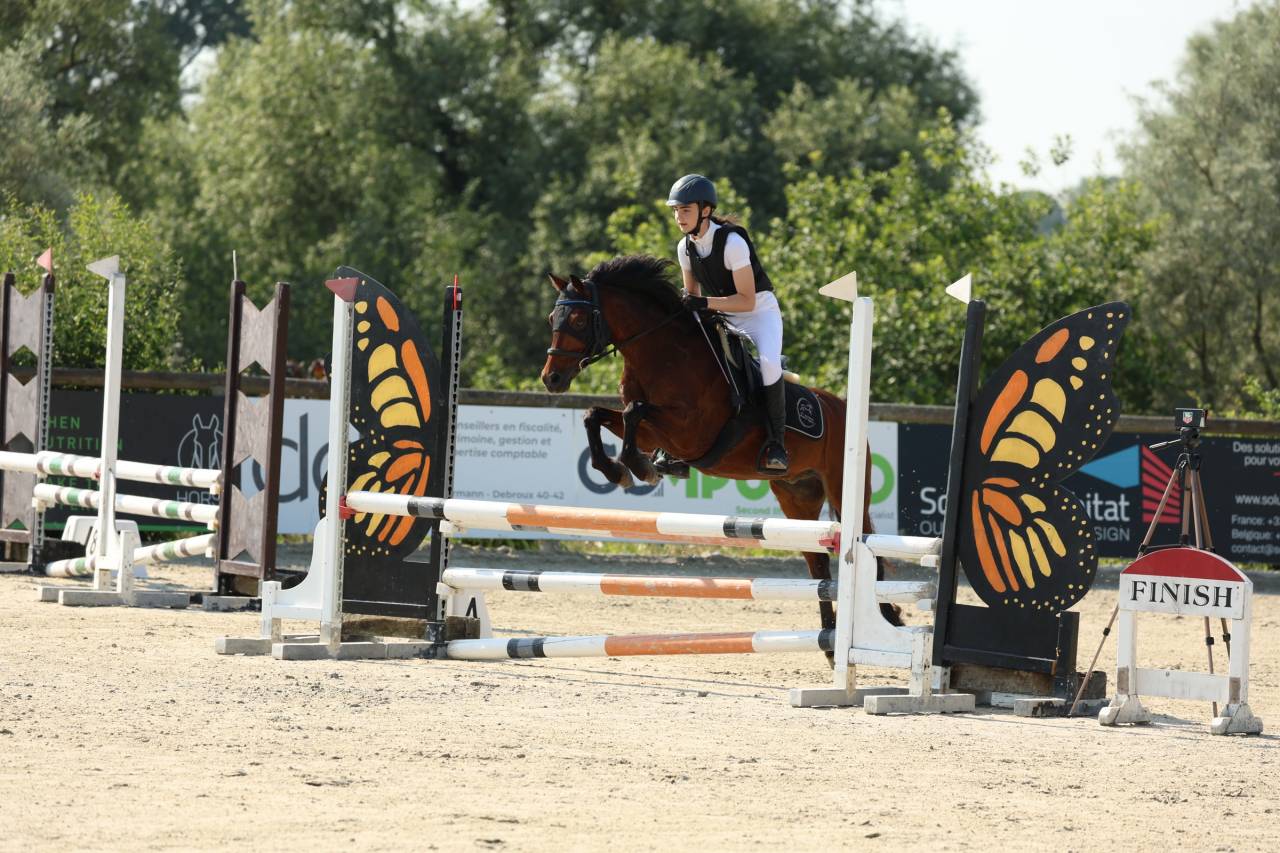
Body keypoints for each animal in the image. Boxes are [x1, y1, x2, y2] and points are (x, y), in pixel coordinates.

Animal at [539, 254, 898, 646]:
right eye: (551, 319)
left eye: (577, 319)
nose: (551, 379)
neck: (661, 354)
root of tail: (843, 409)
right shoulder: (654, 434)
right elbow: (595, 415)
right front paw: (617, 469)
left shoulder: (690, 431)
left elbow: (635, 411)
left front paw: (637, 467)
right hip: (797, 496)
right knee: (816, 561)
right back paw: (831, 642)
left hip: (844, 489)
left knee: (872, 551)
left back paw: (888, 616)